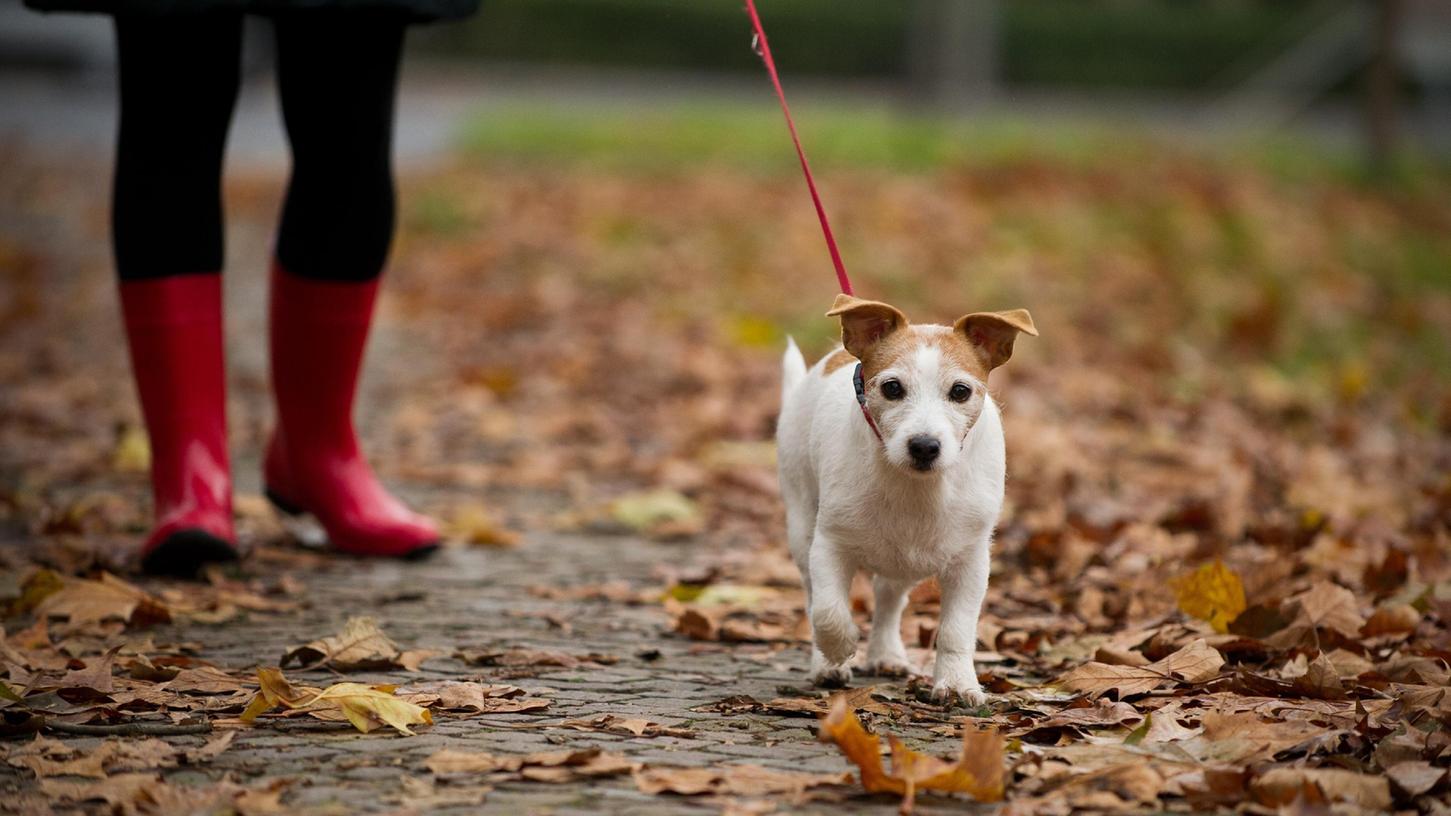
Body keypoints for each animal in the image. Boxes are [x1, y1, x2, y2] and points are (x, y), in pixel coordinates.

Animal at [777, 291, 1038, 699]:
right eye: (892, 388)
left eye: (960, 391)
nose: (925, 446)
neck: (915, 487)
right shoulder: (829, 544)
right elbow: (828, 610)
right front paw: (839, 649)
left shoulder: (970, 563)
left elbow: (956, 630)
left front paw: (957, 682)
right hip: (802, 525)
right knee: (812, 596)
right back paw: (827, 664)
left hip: (902, 561)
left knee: (888, 599)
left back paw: (886, 654)